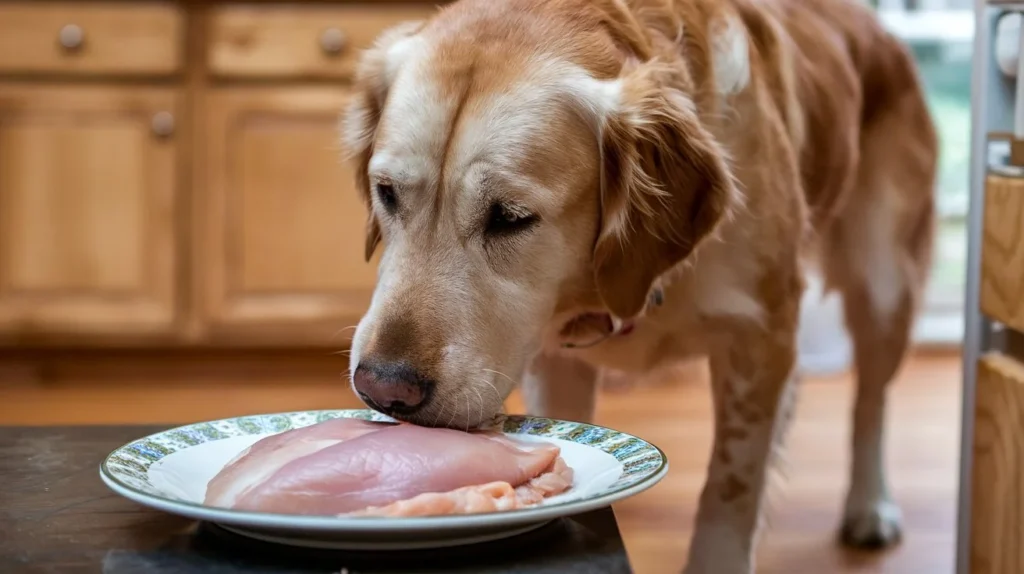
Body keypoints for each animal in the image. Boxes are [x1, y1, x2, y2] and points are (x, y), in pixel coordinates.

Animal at [342, 0, 937, 564]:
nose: (383, 388)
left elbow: (731, 493)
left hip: (884, 285)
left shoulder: (761, 340)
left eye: (510, 218)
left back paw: (870, 506)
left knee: (871, 403)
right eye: (386, 192)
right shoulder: (555, 363)